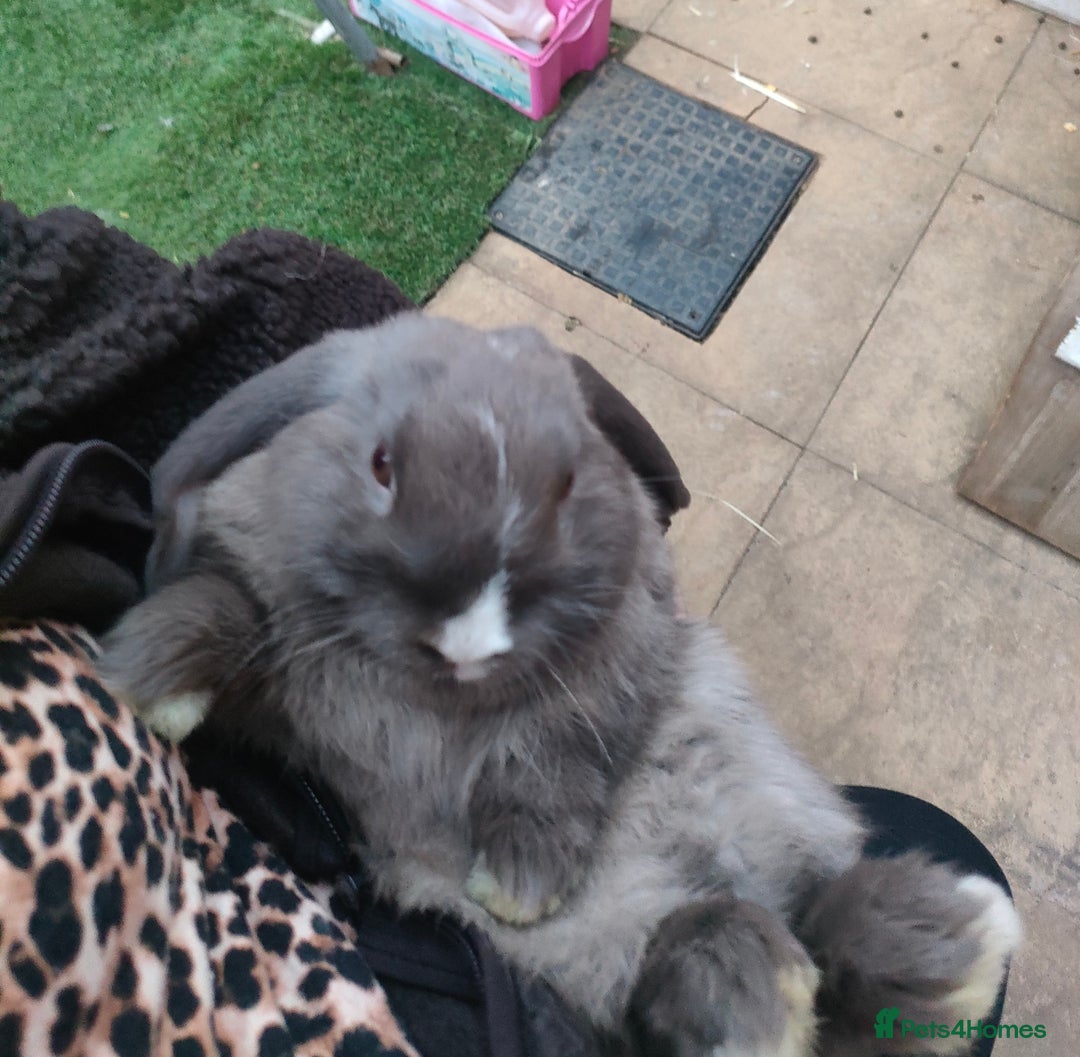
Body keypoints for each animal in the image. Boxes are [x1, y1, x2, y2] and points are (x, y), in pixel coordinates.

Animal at [100, 312, 1021, 1057]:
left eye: (572, 479)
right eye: (381, 465)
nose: (469, 636)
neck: (443, 698)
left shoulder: (610, 670)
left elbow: (550, 764)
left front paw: (516, 886)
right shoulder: (284, 692)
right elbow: (219, 611)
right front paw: (145, 686)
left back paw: (948, 943)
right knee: (723, 952)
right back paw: (818, 987)